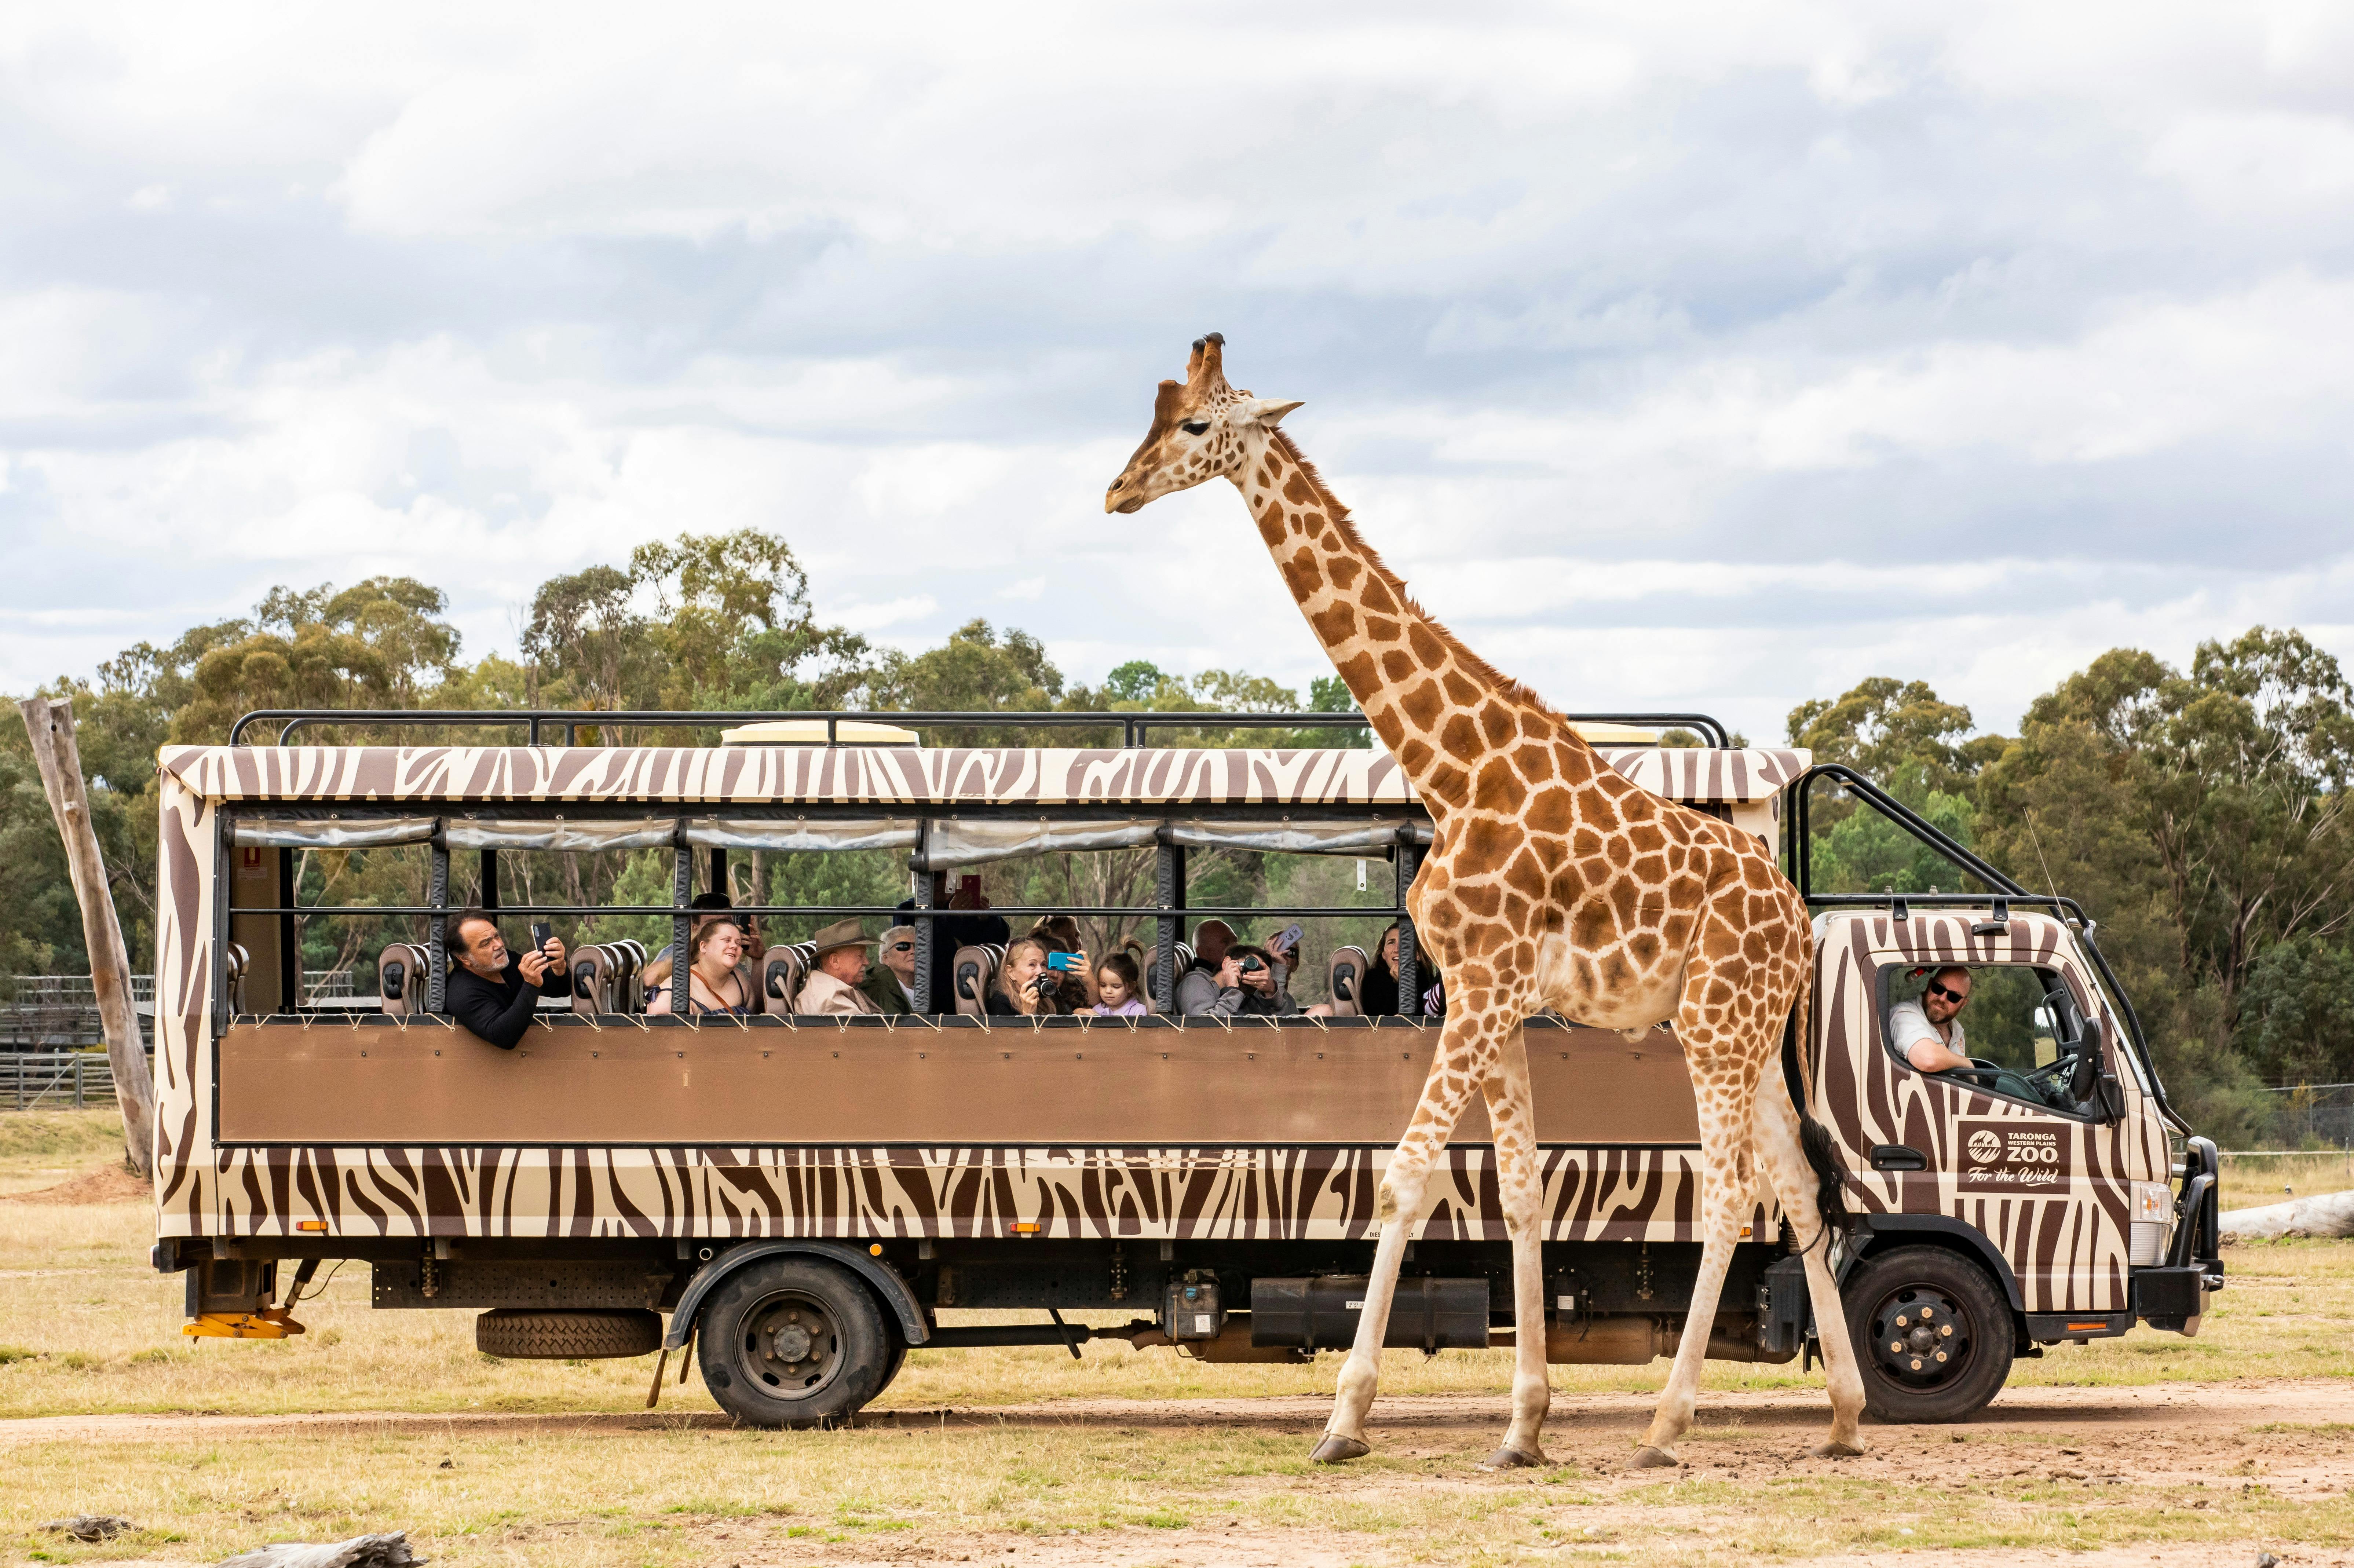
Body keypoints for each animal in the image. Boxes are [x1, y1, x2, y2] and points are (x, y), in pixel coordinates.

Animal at [1097, 332, 1855, 1469]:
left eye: (1192, 424)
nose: (1116, 491)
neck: (1453, 770)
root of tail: (1800, 921)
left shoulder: (1487, 986)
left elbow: (1405, 1176)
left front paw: (1344, 1418)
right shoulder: (1482, 990)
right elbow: (1517, 1188)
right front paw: (1523, 1425)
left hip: (1714, 1023)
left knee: (1731, 1190)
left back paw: (1664, 1424)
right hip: (1747, 1030)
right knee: (1798, 1181)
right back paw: (1846, 1414)